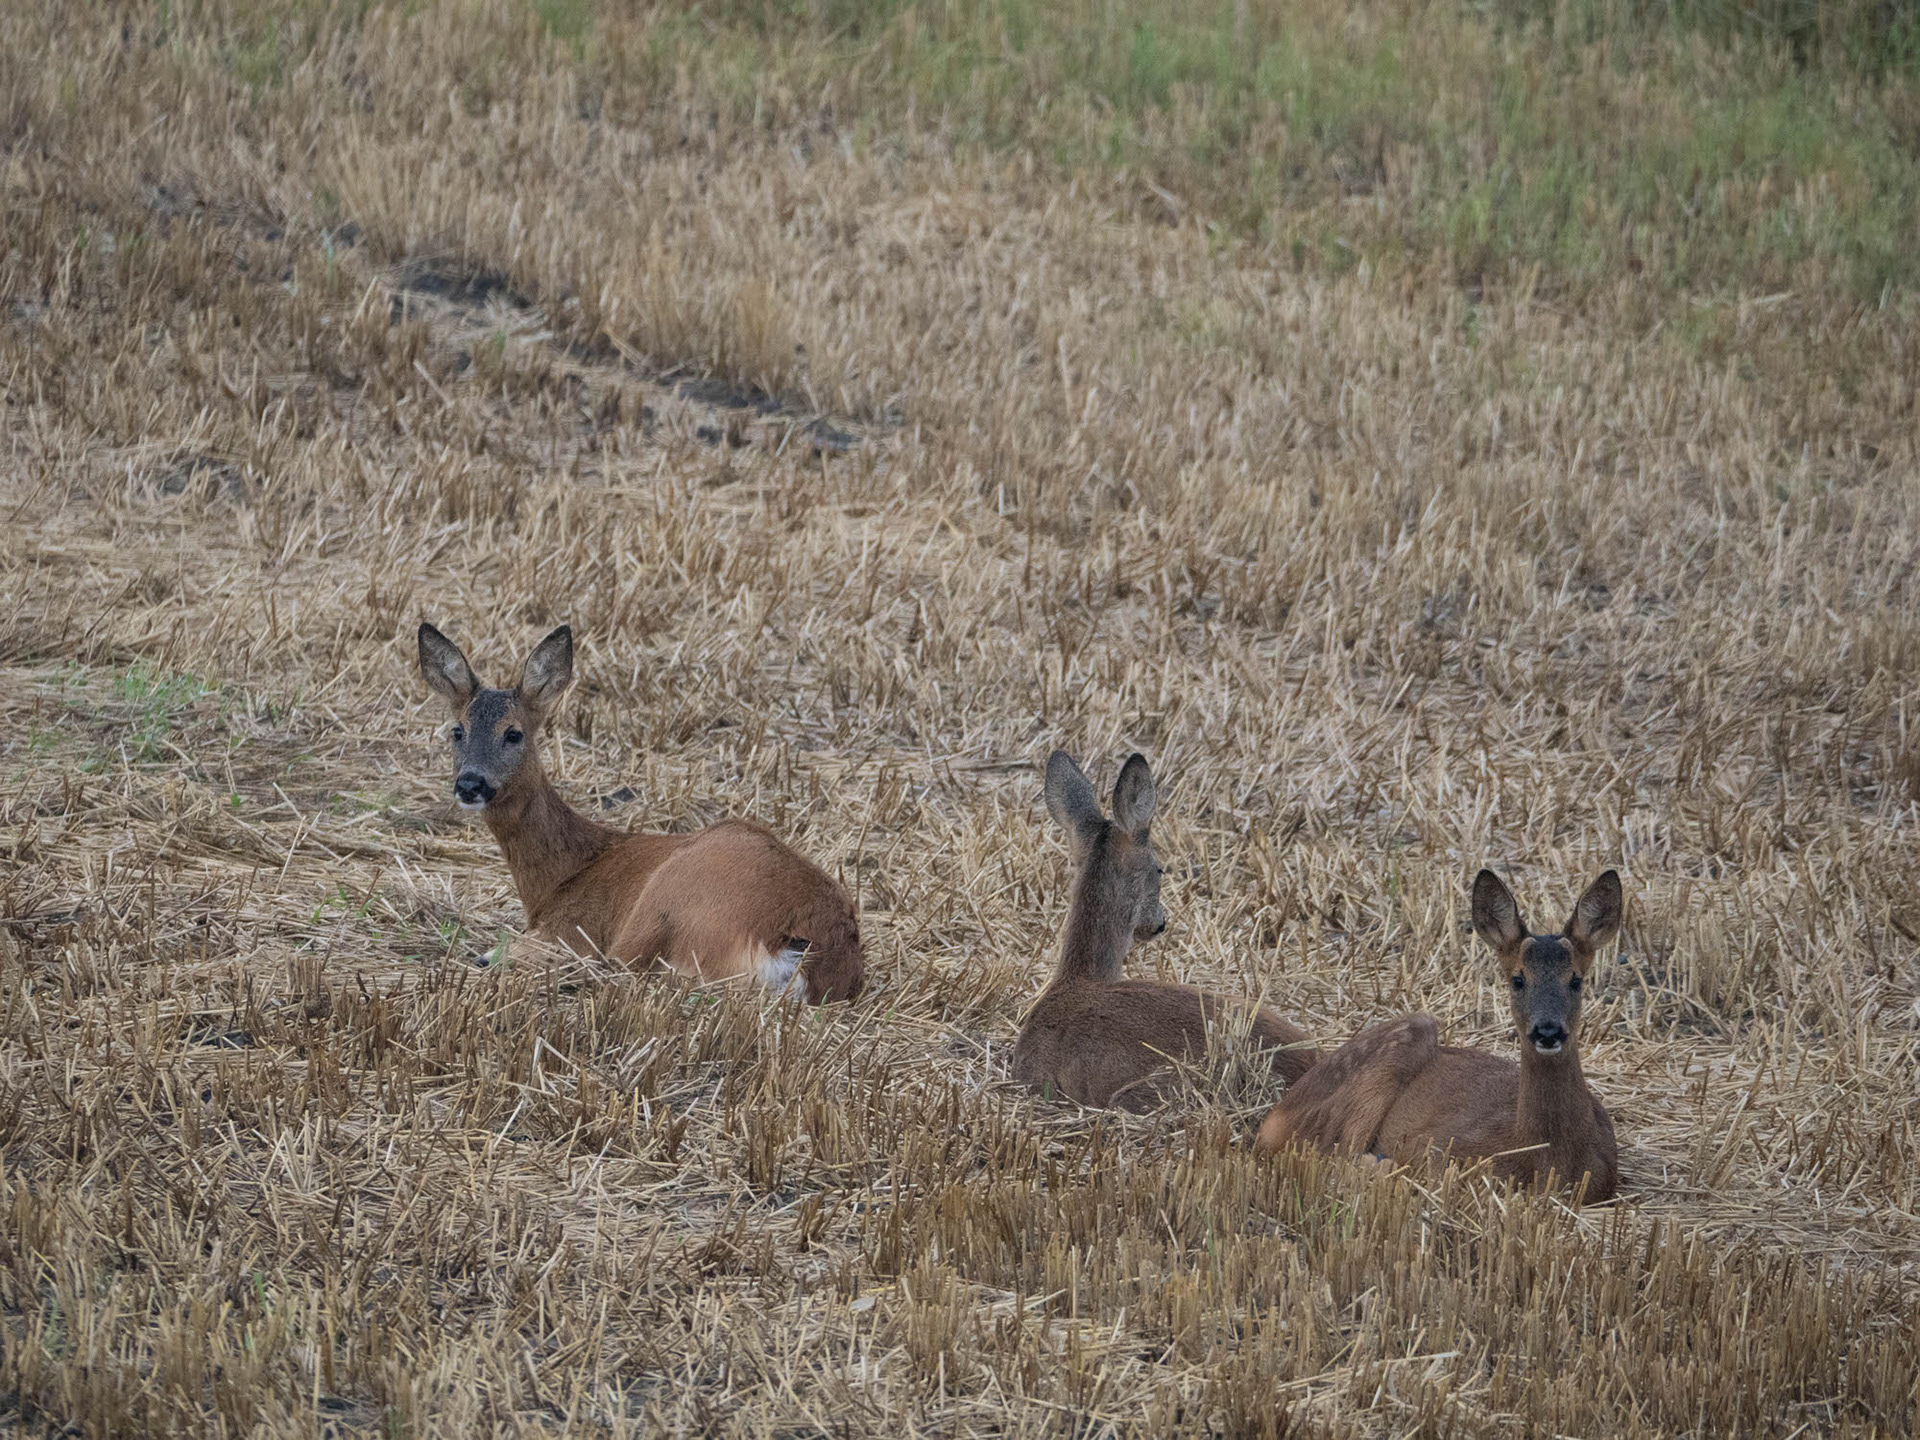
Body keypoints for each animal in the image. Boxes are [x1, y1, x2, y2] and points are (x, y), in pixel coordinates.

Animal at [415, 622, 864, 1004]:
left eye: (513, 733)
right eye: (457, 731)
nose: (470, 784)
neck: (563, 875)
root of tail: (803, 946)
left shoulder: (575, 929)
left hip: (668, 900)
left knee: (617, 966)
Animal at [1254, 868, 1622, 1204]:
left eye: (1575, 980)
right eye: (1518, 980)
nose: (1547, 1031)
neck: (1544, 1157)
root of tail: (1275, 1114)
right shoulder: (1435, 1149)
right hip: (1407, 1037)